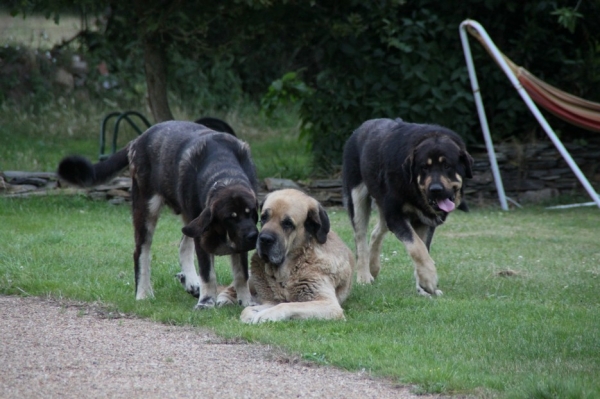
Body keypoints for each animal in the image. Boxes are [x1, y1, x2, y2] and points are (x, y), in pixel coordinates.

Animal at [56, 121, 260, 310]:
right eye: (230, 217)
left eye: (251, 214)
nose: (253, 236)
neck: (224, 176)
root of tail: (137, 140)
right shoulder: (204, 232)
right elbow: (208, 274)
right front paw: (206, 302)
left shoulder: (226, 236)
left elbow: (241, 274)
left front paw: (246, 302)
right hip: (146, 207)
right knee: (141, 252)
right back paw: (143, 293)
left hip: (188, 218)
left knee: (183, 244)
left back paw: (191, 282)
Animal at [239, 189, 352, 324]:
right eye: (264, 217)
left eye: (288, 223)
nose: (264, 239)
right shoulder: (272, 301)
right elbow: (248, 310)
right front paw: (251, 313)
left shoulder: (329, 304)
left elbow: (287, 305)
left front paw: (265, 315)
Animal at [342, 119, 474, 296]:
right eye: (424, 167)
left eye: (447, 166)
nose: (436, 189)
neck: (415, 192)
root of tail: (362, 126)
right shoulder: (395, 215)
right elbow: (417, 248)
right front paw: (429, 279)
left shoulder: (425, 222)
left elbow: (423, 248)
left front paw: (423, 286)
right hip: (357, 197)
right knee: (360, 239)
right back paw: (364, 277)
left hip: (383, 210)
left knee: (376, 232)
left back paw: (373, 267)